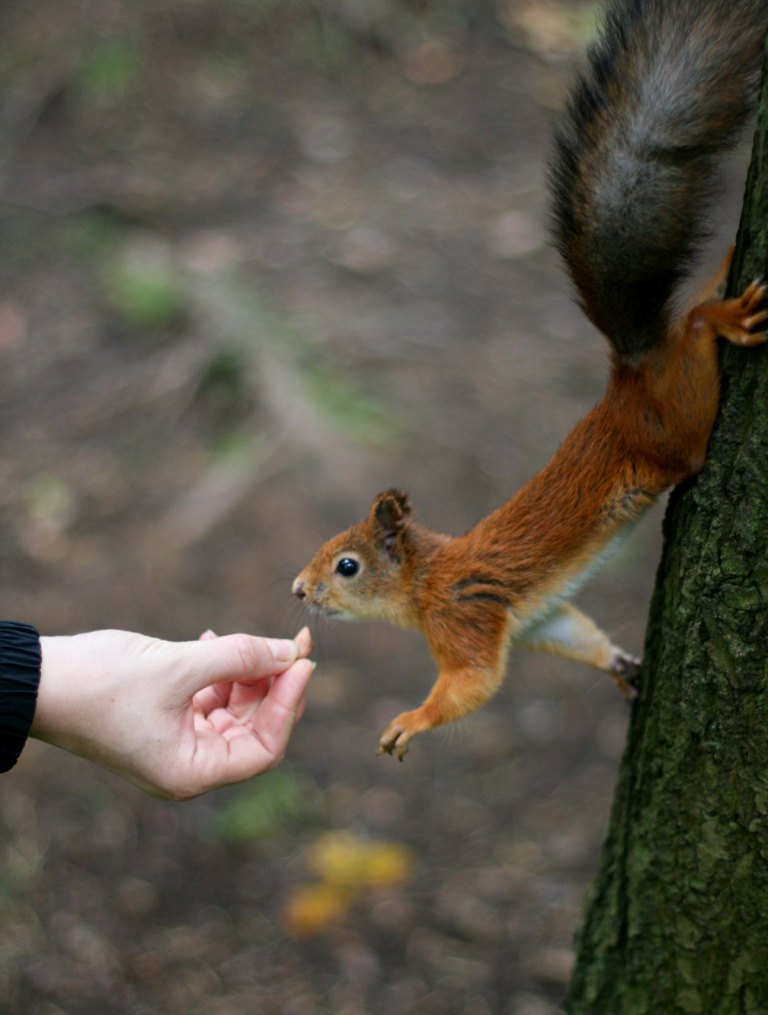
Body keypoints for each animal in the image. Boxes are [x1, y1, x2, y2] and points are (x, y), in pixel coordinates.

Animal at [290, 0, 766, 759]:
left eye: (348, 566)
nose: (297, 590)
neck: (426, 581)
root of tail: (630, 366)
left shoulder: (465, 619)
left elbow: (474, 684)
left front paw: (410, 719)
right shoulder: (533, 619)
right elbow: (571, 630)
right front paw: (620, 664)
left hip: (678, 420)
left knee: (691, 333)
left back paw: (717, 315)